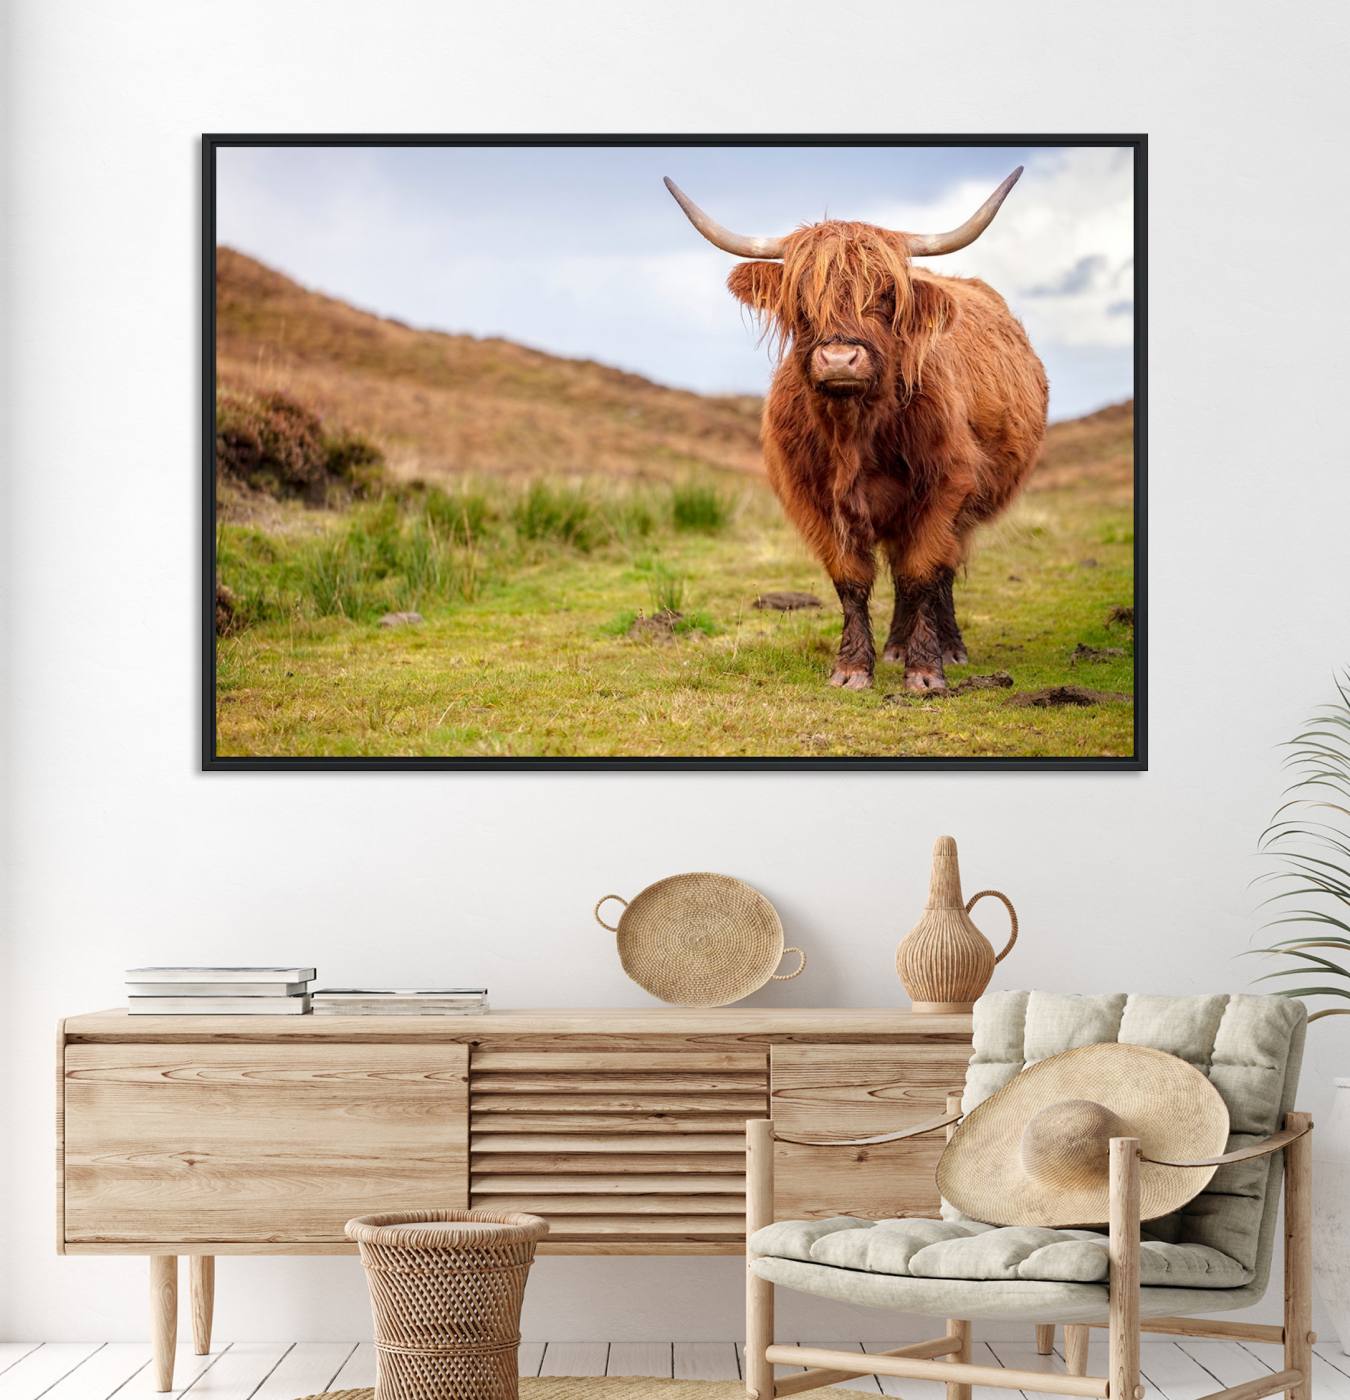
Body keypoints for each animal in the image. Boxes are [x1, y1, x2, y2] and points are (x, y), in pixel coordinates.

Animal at [665, 169, 1048, 693]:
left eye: (886, 295)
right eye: (801, 298)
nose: (839, 359)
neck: (854, 433)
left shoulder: (945, 487)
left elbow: (922, 572)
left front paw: (926, 671)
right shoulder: (814, 499)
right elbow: (851, 579)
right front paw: (852, 668)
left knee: (939, 572)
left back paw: (947, 646)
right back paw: (894, 647)